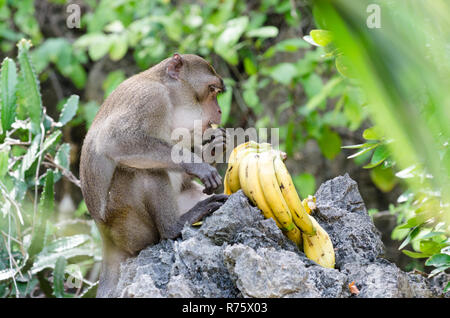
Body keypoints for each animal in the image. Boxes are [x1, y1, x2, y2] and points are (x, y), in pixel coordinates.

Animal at [79, 53, 229, 296]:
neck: (168, 95)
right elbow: (113, 141)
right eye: (211, 89)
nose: (219, 111)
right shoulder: (151, 99)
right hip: (127, 225)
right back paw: (174, 226)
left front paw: (213, 147)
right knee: (143, 171)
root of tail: (105, 239)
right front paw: (198, 164)